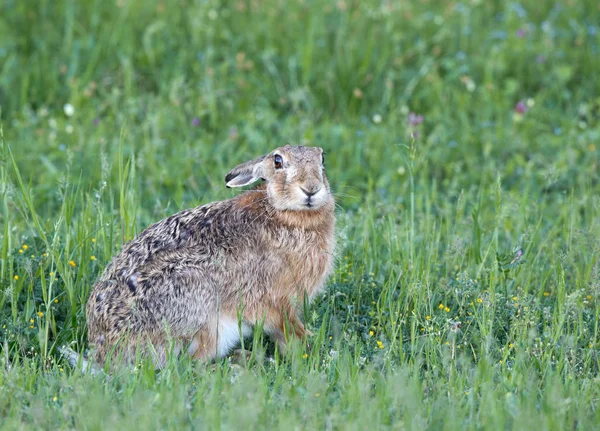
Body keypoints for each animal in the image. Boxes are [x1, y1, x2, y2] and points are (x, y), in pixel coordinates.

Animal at [86, 145, 336, 368]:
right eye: (278, 161)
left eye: (322, 159)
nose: (311, 189)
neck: (281, 212)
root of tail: (103, 349)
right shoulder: (275, 301)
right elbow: (288, 330)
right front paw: (308, 350)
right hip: (203, 314)